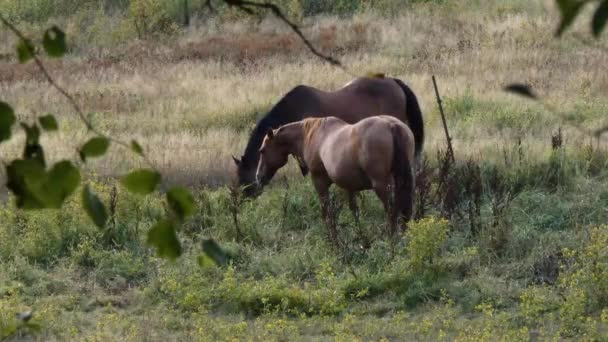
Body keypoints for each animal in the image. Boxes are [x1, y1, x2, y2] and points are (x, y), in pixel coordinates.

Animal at [254, 115, 416, 238]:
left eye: (262, 150)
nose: (258, 177)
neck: (310, 136)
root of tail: (391, 125)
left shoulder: (319, 182)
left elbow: (327, 213)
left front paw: (333, 239)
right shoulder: (350, 186)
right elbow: (354, 210)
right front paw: (358, 234)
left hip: (382, 185)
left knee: (392, 211)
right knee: (404, 209)